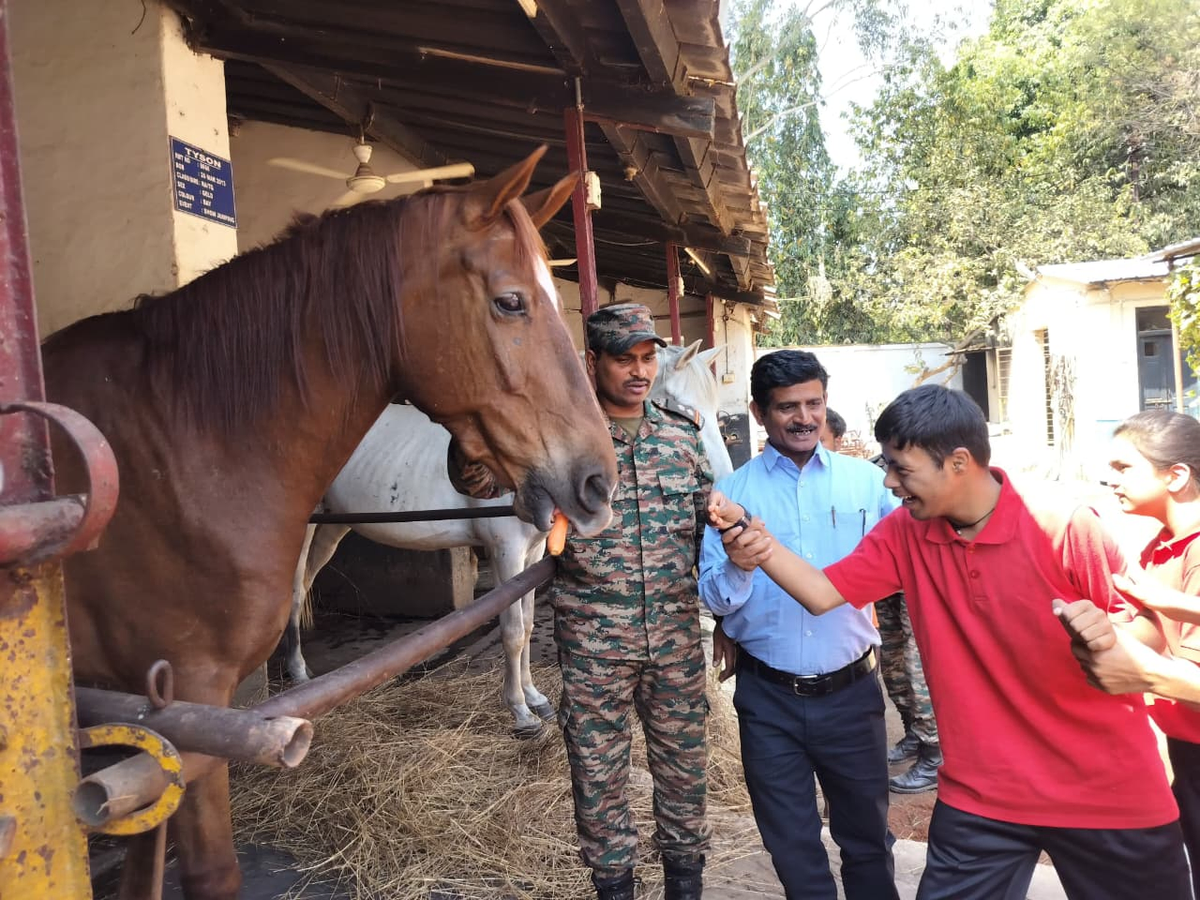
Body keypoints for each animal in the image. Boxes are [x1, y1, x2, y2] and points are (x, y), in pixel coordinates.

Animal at [285, 341, 732, 737]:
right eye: (683, 409)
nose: (722, 485)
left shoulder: (532, 554)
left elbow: (530, 623)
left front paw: (534, 698)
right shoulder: (506, 551)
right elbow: (513, 631)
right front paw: (520, 712)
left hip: (334, 525)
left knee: (306, 583)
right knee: (292, 592)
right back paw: (299, 674)